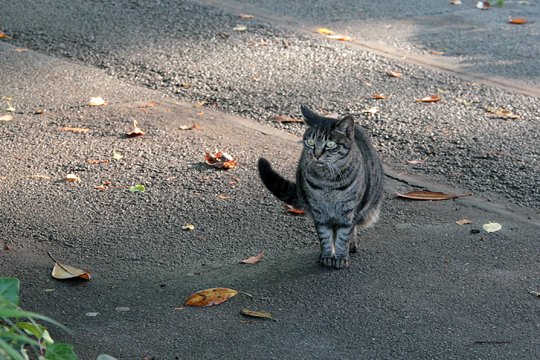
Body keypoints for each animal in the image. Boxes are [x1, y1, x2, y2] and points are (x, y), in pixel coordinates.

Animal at [258, 104, 382, 268]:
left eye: (330, 144)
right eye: (310, 142)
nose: (316, 154)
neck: (327, 181)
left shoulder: (348, 211)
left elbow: (343, 235)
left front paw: (341, 257)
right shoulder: (319, 212)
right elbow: (325, 236)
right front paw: (327, 255)